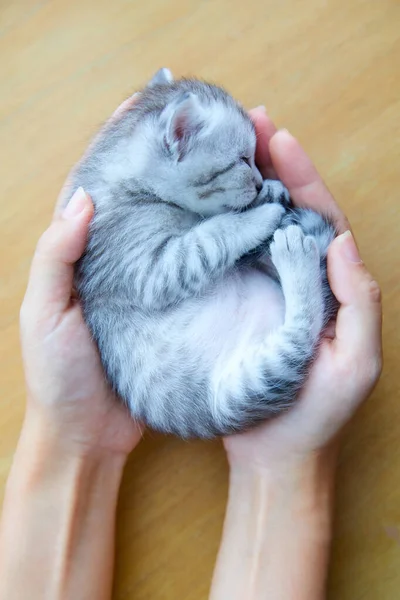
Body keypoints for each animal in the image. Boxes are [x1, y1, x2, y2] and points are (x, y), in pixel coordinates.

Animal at [65, 69, 338, 436]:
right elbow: (212, 235)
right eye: (242, 160)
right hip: (234, 395)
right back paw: (293, 256)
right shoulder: (151, 268)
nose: (258, 182)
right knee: (300, 332)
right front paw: (260, 214)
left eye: (254, 159)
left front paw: (270, 193)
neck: (132, 186)